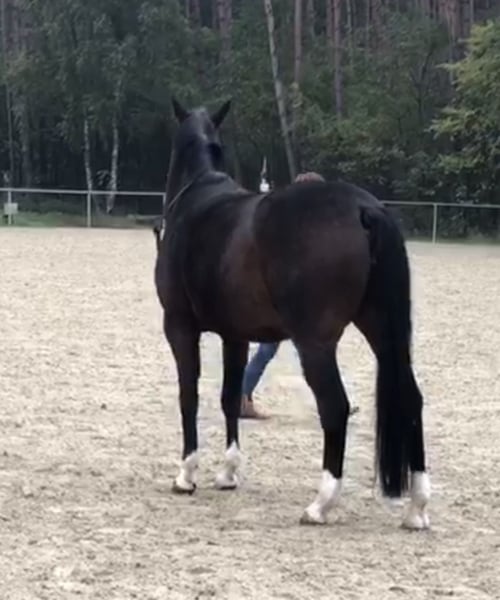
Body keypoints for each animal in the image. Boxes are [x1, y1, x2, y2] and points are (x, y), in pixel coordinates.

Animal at [154, 98, 431, 529]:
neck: (197, 198)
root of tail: (363, 208)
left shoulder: (179, 326)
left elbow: (189, 396)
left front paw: (186, 475)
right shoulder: (235, 335)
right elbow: (229, 397)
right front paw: (228, 473)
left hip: (314, 343)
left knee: (334, 406)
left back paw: (320, 504)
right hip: (383, 333)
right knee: (411, 400)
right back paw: (417, 507)